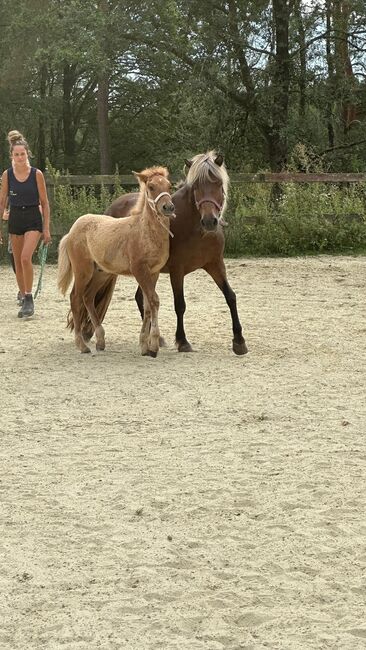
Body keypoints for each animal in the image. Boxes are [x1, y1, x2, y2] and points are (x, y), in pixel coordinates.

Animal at [82, 151, 247, 354]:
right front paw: (182, 341)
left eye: (217, 183)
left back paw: (155, 338)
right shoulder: (177, 270)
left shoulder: (216, 265)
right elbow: (180, 304)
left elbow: (230, 296)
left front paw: (239, 341)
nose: (209, 221)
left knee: (141, 298)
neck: (196, 229)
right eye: (196, 187)